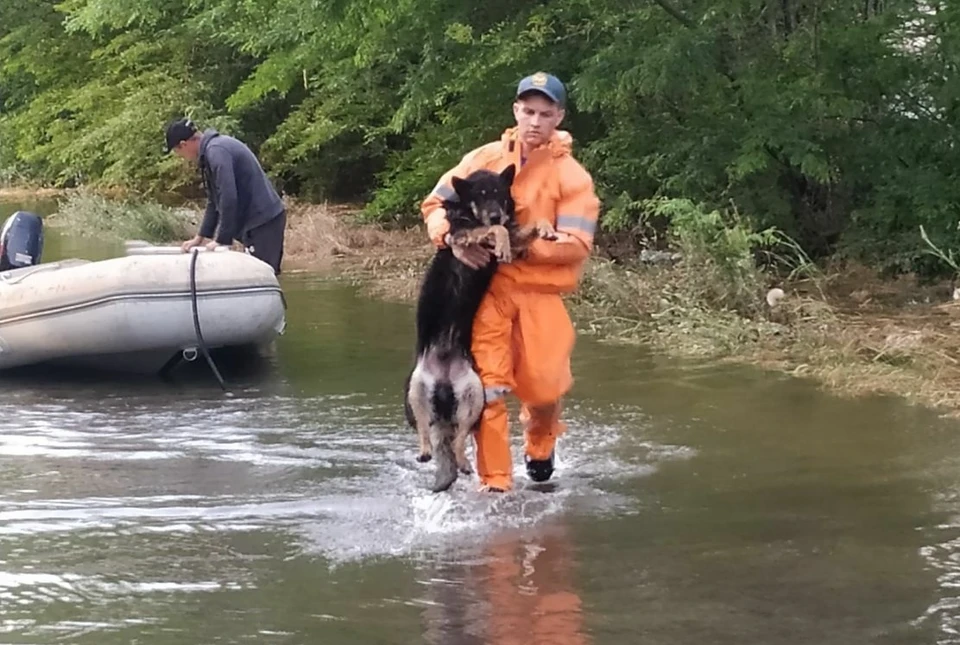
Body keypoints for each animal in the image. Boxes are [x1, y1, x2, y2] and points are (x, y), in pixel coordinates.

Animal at [404, 164, 556, 490]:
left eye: (499, 194)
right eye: (481, 196)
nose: (496, 215)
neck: (470, 212)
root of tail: (444, 378)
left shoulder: (513, 232)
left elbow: (526, 225)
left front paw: (546, 229)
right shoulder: (464, 234)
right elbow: (498, 232)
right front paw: (502, 242)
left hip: (473, 398)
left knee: (459, 438)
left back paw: (463, 464)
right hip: (414, 392)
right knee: (424, 429)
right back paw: (424, 451)